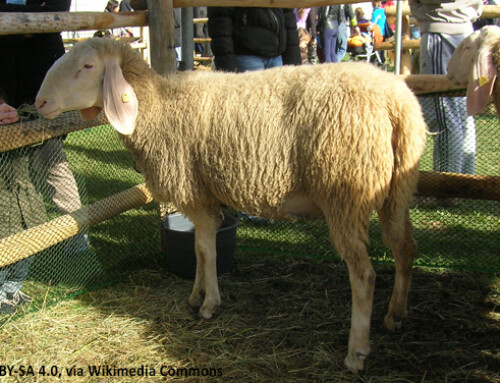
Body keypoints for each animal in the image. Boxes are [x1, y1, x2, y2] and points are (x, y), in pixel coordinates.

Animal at [35, 38, 426, 372]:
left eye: (87, 65)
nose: (39, 103)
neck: (158, 106)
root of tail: (396, 101)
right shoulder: (200, 195)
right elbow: (197, 248)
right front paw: (195, 295)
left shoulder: (193, 195)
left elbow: (207, 251)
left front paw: (209, 305)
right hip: (397, 190)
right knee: (405, 247)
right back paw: (396, 315)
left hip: (344, 193)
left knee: (363, 273)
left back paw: (356, 351)